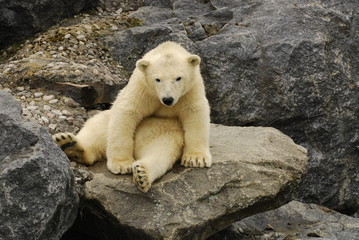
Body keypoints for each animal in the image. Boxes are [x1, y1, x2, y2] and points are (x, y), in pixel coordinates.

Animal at [53, 40, 211, 191]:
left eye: (178, 78)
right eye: (157, 79)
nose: (168, 99)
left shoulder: (191, 90)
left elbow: (195, 113)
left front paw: (196, 159)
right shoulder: (142, 87)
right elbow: (126, 112)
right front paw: (122, 165)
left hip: (164, 130)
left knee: (161, 150)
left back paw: (142, 174)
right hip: (108, 120)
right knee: (97, 129)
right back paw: (68, 143)